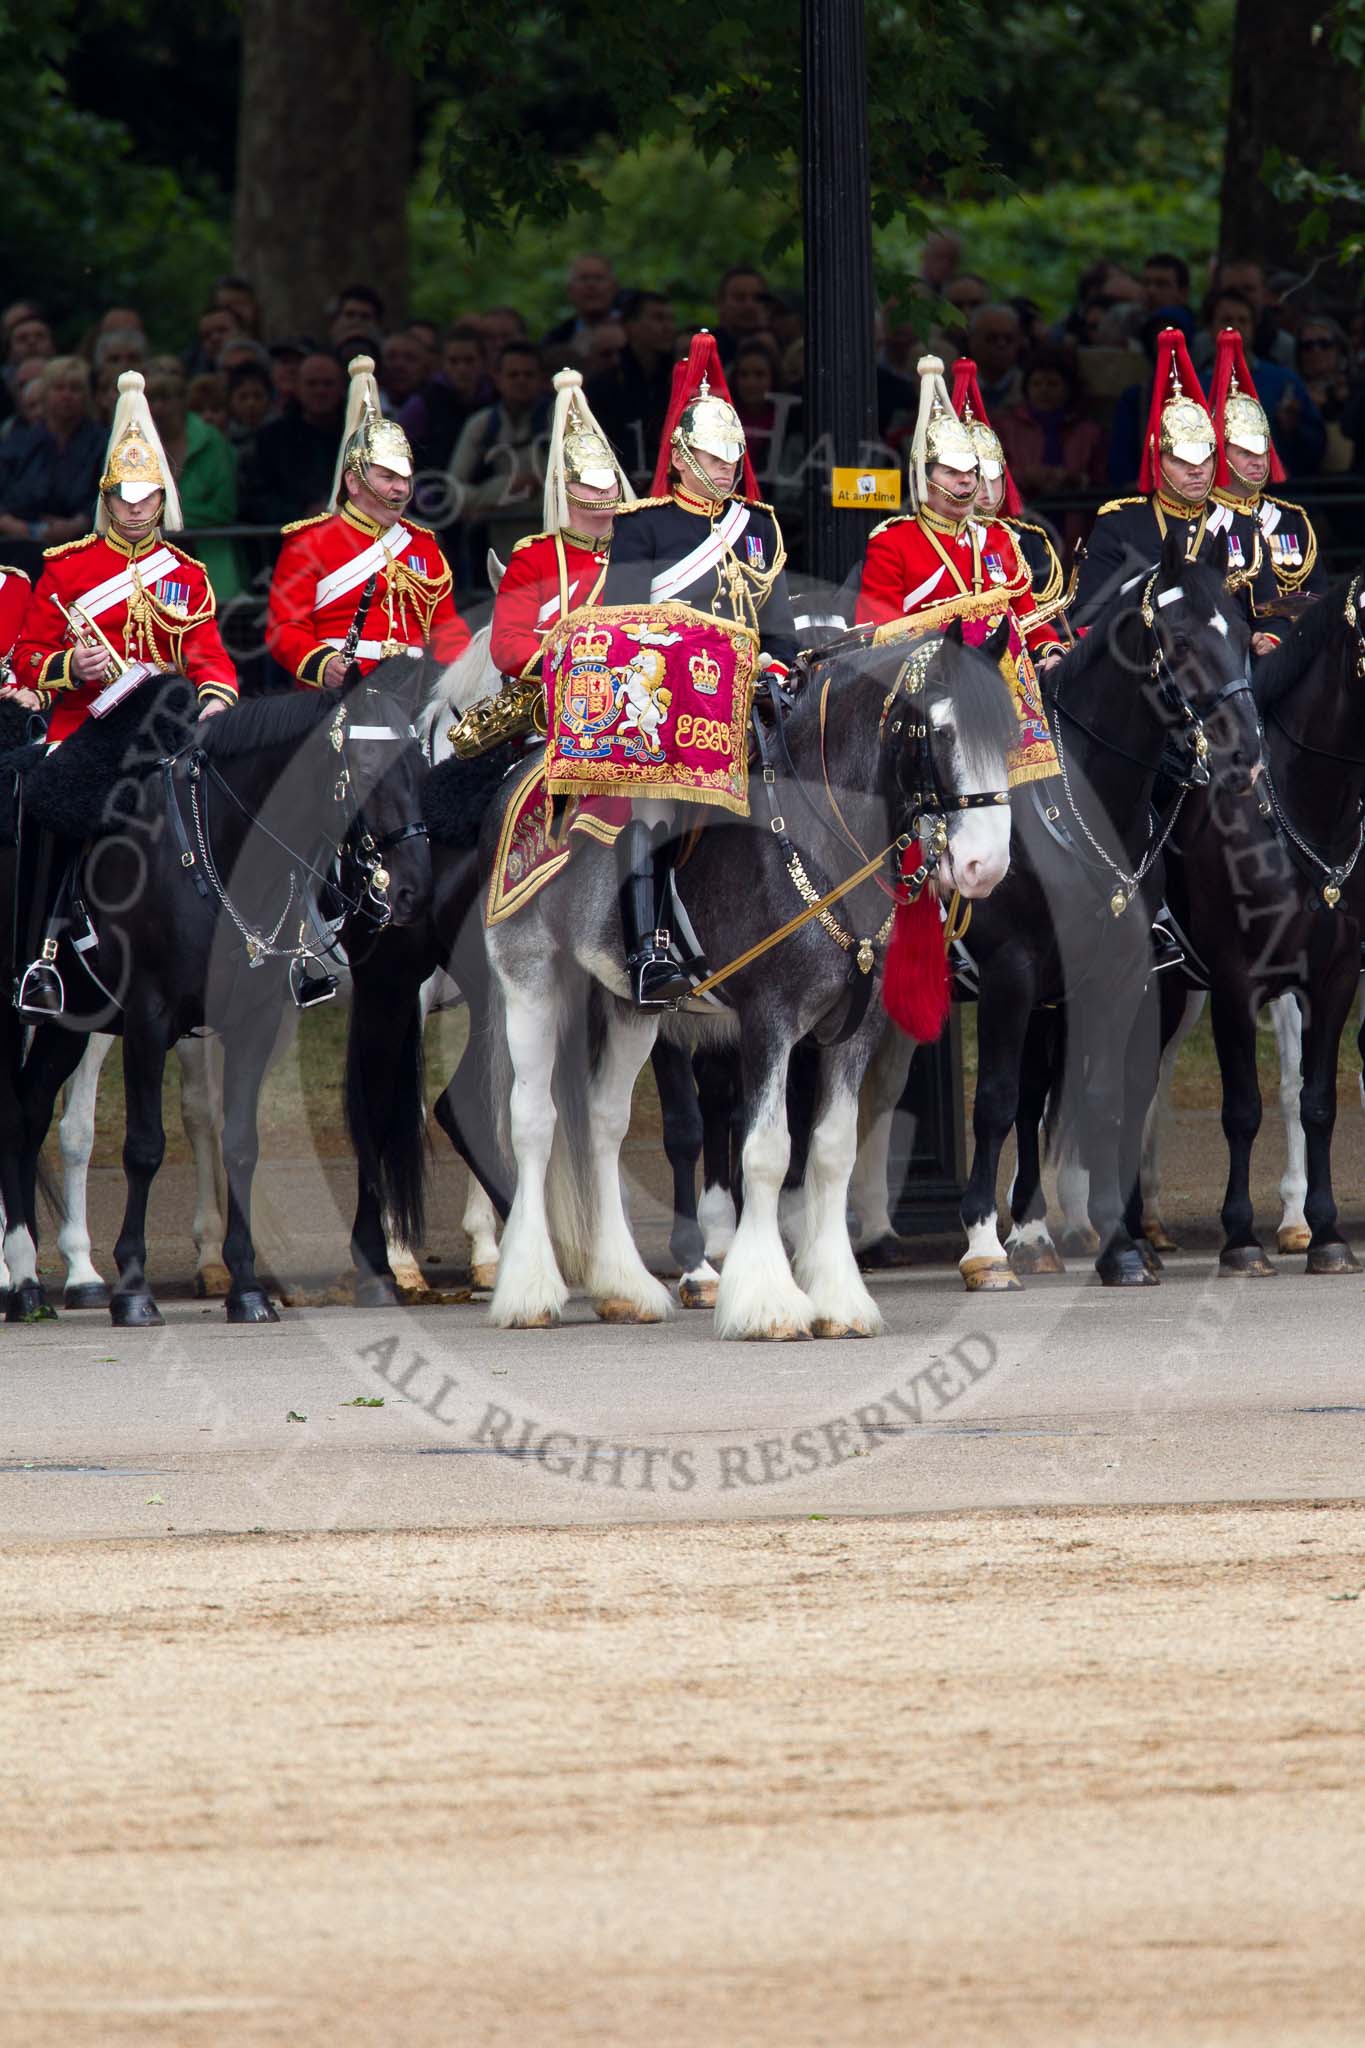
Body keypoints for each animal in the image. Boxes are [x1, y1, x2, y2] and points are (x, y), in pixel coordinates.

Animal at [2, 661, 431, 1324]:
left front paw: (248, 1287)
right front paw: (133, 1290)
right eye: (362, 766)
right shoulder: (149, 1018)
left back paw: (26, 1283)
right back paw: (29, 1278)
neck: (219, 855)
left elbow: (241, 1146)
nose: (412, 888)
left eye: (421, 760)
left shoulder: (252, 1020)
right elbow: (145, 1147)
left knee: (26, 1112)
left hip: (67, 1023)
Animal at [475, 622, 1018, 1338]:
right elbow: (765, 1150)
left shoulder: (857, 1026)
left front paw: (839, 1299)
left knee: (603, 1122)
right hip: (531, 978)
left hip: (628, 1007)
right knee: (533, 1121)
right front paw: (766, 1300)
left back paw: (624, 1286)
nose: (987, 866)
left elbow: (831, 1150)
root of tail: (520, 772)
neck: (825, 835)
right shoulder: (769, 1018)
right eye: (939, 730)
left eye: (1011, 735)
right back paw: (529, 1290)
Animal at [847, 536, 1264, 1289]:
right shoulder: (1010, 973)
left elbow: (1096, 1100)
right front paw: (983, 1242)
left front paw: (1117, 1247)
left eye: (1246, 635)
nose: (1244, 755)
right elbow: (995, 1100)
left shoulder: (1114, 975)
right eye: (1182, 640)